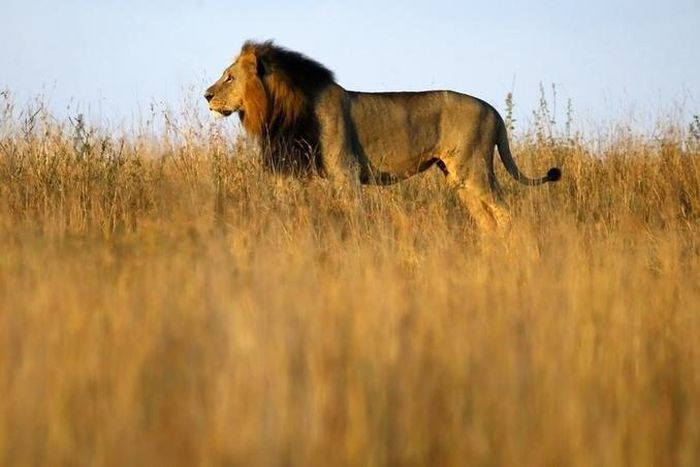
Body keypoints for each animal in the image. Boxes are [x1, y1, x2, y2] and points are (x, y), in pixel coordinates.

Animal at [205, 40, 561, 230]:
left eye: (229, 77)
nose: (206, 95)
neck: (282, 108)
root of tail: (493, 110)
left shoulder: (345, 172)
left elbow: (353, 213)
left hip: (474, 170)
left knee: (505, 213)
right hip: (457, 176)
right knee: (487, 220)